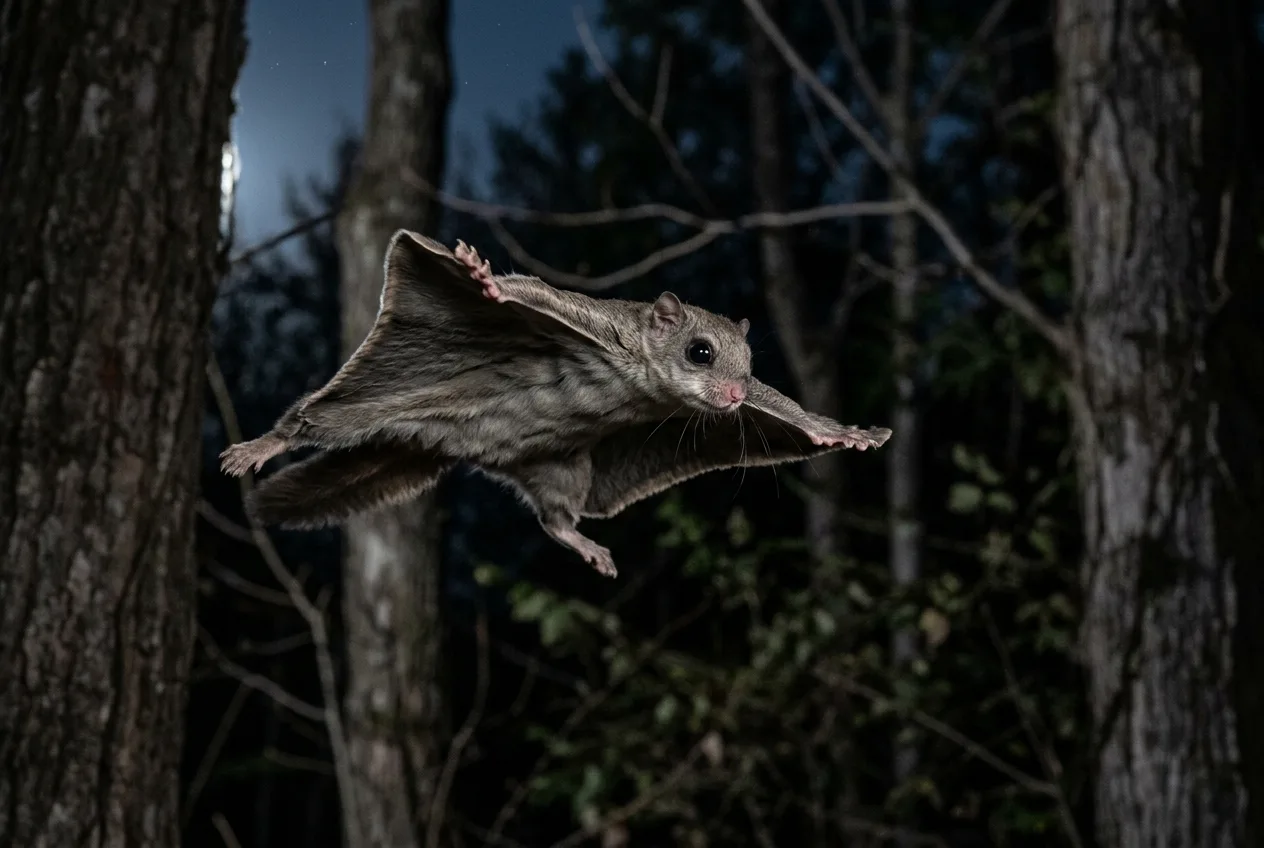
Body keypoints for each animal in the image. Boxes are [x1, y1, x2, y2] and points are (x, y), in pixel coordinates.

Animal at [221, 231, 891, 577]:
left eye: (749, 366)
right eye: (699, 352)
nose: (733, 396)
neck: (642, 376)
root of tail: (441, 442)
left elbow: (787, 409)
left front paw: (836, 432)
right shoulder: (593, 320)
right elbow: (528, 290)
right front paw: (482, 278)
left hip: (560, 468)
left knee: (554, 522)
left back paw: (585, 544)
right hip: (379, 403)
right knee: (313, 420)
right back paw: (263, 444)